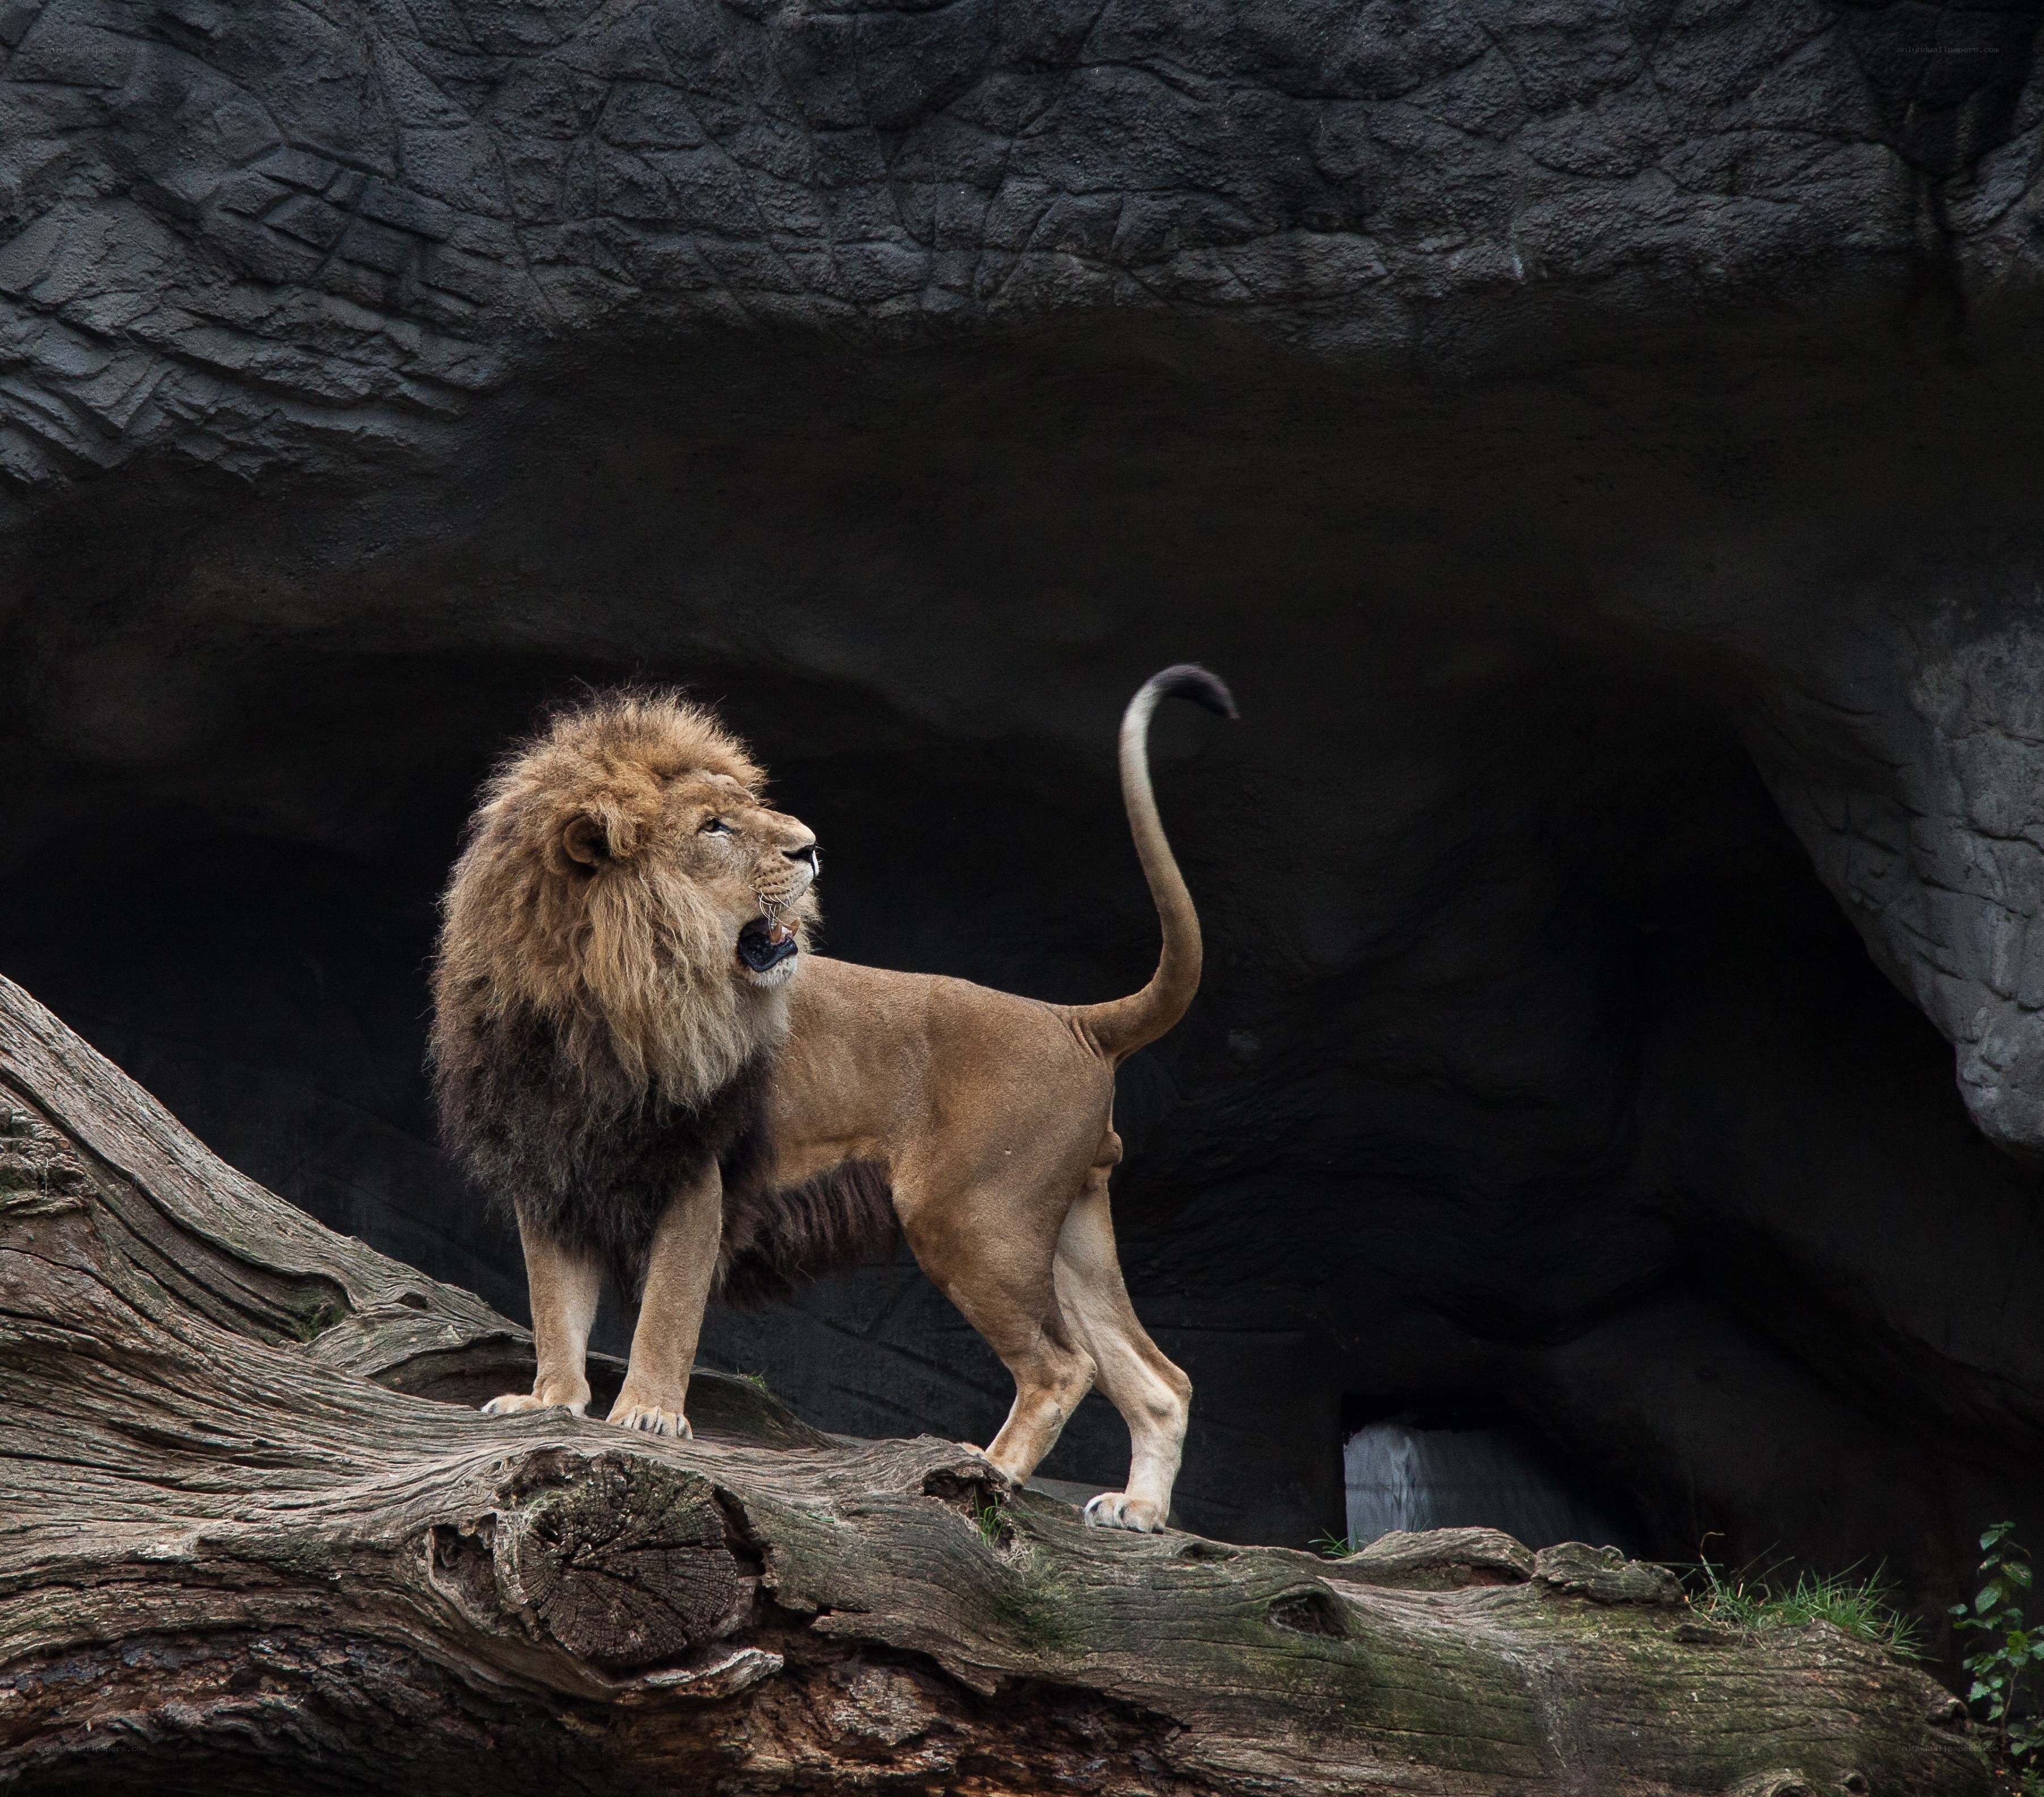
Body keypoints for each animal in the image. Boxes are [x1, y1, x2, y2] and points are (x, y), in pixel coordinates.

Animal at [431, 666, 1234, 1531]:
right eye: (714, 826)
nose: (810, 846)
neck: (593, 1003)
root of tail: (1071, 1019)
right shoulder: (550, 1171)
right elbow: (554, 1303)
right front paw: (551, 1401)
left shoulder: (696, 1173)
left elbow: (668, 1308)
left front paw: (647, 1414)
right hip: (1064, 1229)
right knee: (1158, 1379)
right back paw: (1139, 1511)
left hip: (972, 1218)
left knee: (1062, 1366)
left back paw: (989, 1473)